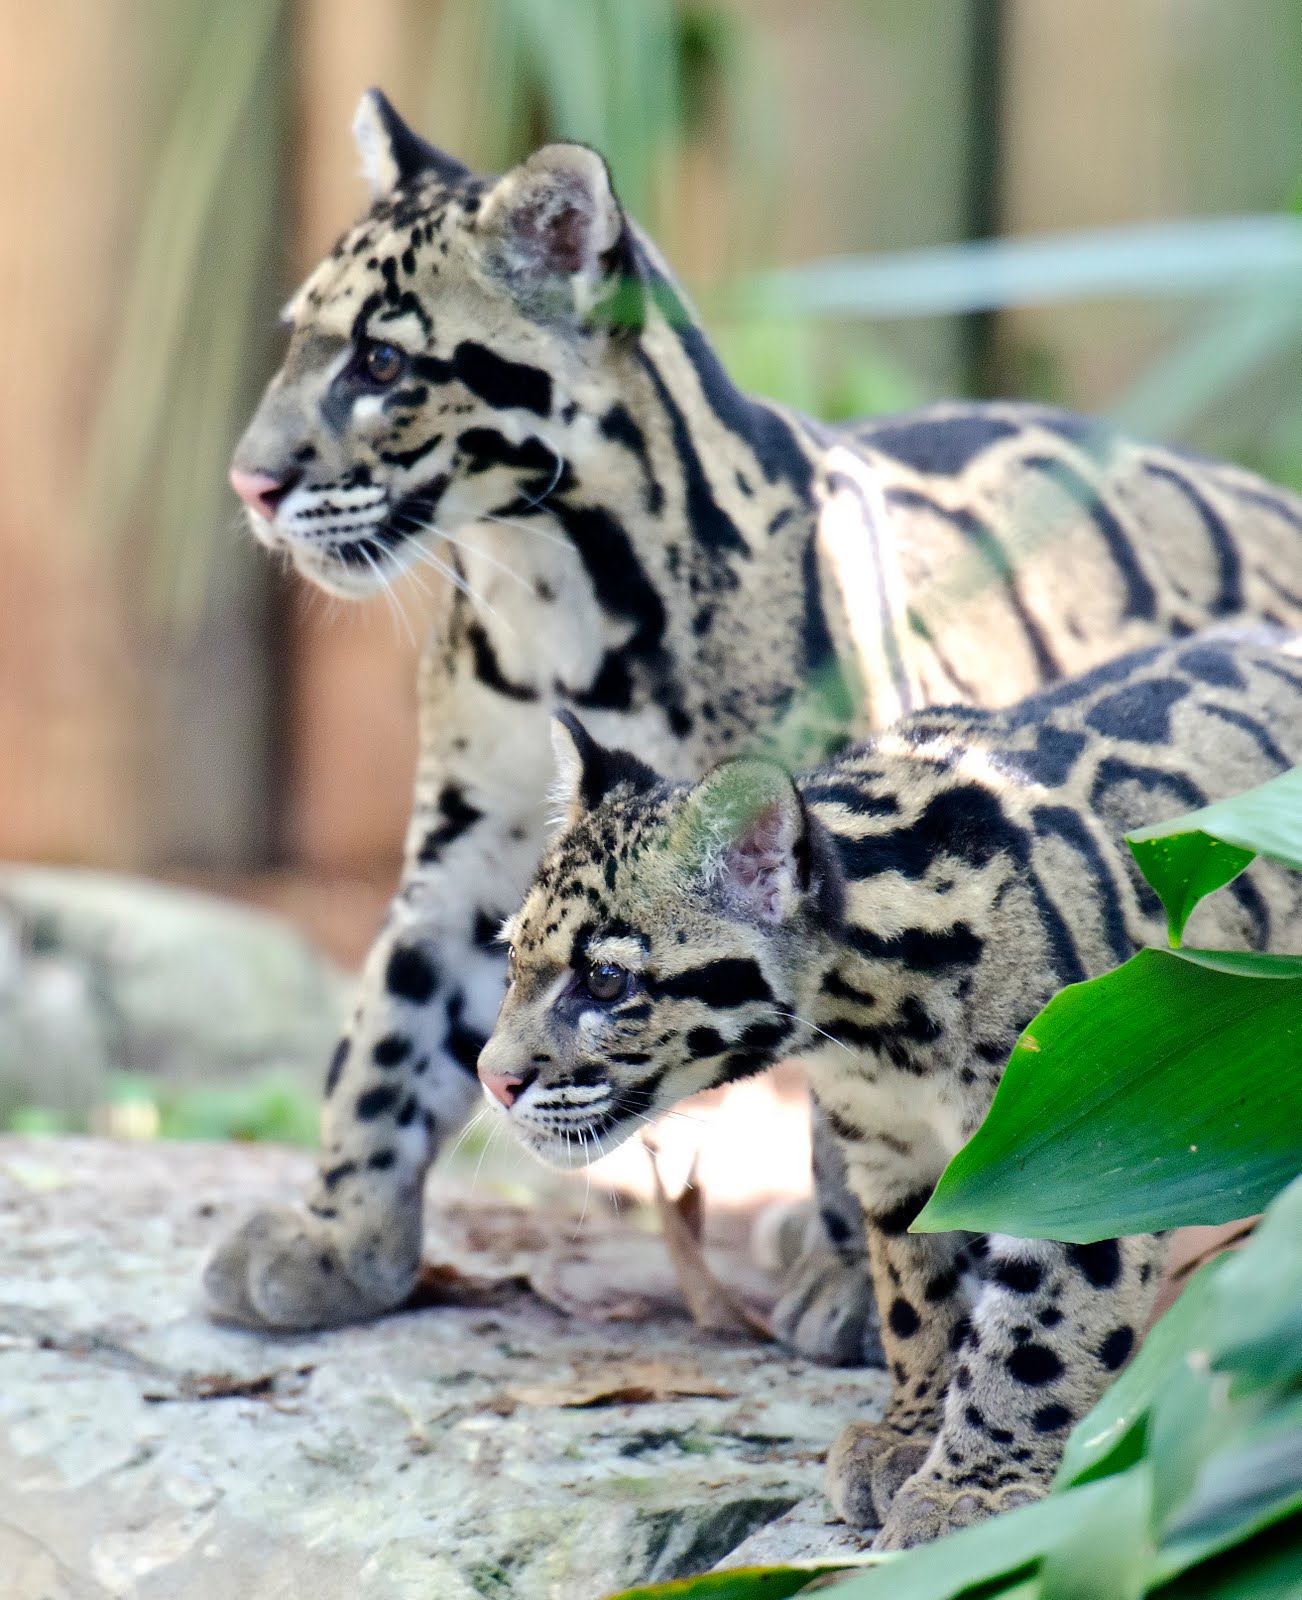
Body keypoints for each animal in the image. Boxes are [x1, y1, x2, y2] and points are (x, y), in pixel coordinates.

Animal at [208, 86, 1302, 1362]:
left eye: (382, 360)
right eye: (296, 339)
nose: (249, 484)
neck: (550, 597)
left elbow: (844, 1091)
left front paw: (854, 1276)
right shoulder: (468, 853)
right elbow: (386, 1030)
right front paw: (337, 1237)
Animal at [479, 628, 1302, 1548]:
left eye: (606, 980)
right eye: (513, 960)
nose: (493, 1078)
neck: (880, 1037)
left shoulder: (1082, 1137)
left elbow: (1040, 1327)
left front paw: (973, 1487)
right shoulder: (893, 1156)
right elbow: (917, 1294)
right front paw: (911, 1430)